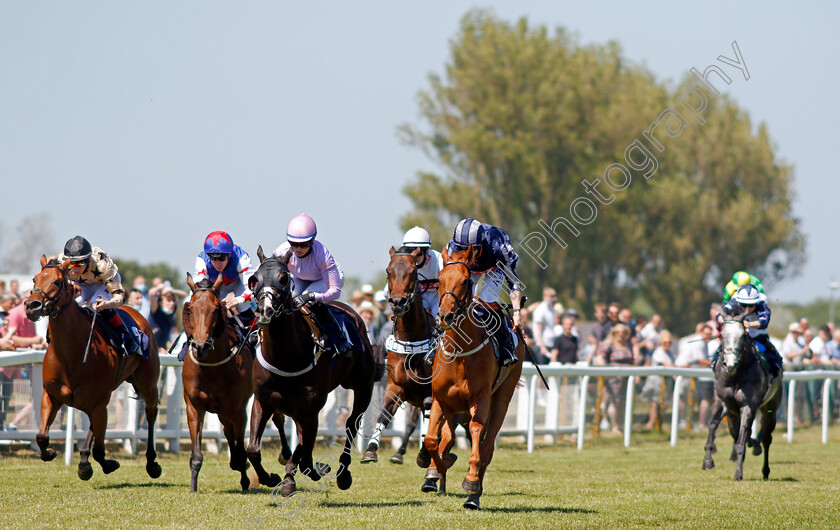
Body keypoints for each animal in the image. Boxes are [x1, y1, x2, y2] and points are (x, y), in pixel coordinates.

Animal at [25, 255, 162, 478]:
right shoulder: (52, 395)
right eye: (35, 279)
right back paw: (82, 460)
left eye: (57, 281)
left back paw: (152, 463)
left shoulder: (99, 403)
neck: (71, 354)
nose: (32, 306)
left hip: (147, 382)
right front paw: (52, 453)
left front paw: (107, 464)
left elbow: (99, 449)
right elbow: (41, 437)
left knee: (151, 412)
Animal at [180, 272, 292, 490]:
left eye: (215, 309)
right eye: (190, 308)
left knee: (278, 419)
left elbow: (244, 449)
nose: (200, 346)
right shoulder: (194, 407)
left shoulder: (238, 410)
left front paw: (265, 477)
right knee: (227, 430)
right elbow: (197, 454)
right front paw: (193, 486)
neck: (211, 368)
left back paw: (284, 454)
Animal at [243, 248, 374, 496]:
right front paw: (272, 477)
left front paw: (293, 478)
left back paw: (343, 473)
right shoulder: (263, 401)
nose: (265, 311)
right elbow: (253, 450)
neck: (285, 356)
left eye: (283, 278)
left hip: (363, 387)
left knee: (351, 423)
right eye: (253, 279)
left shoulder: (311, 408)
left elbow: (302, 453)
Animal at [426, 245, 524, 510]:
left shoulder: (480, 399)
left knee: (487, 447)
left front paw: (470, 482)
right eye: (440, 279)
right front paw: (437, 469)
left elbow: (476, 432)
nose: (445, 316)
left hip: (502, 398)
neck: (460, 353)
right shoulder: (440, 399)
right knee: (450, 437)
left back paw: (474, 496)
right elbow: (432, 440)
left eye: (465, 281)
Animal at [700, 316, 784, 480]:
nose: (730, 364)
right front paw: (708, 461)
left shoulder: (748, 404)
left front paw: (738, 472)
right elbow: (712, 425)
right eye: (722, 335)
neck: (736, 375)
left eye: (742, 336)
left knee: (766, 439)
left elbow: (743, 436)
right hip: (733, 415)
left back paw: (765, 470)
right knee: (736, 432)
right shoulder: (722, 402)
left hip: (770, 410)